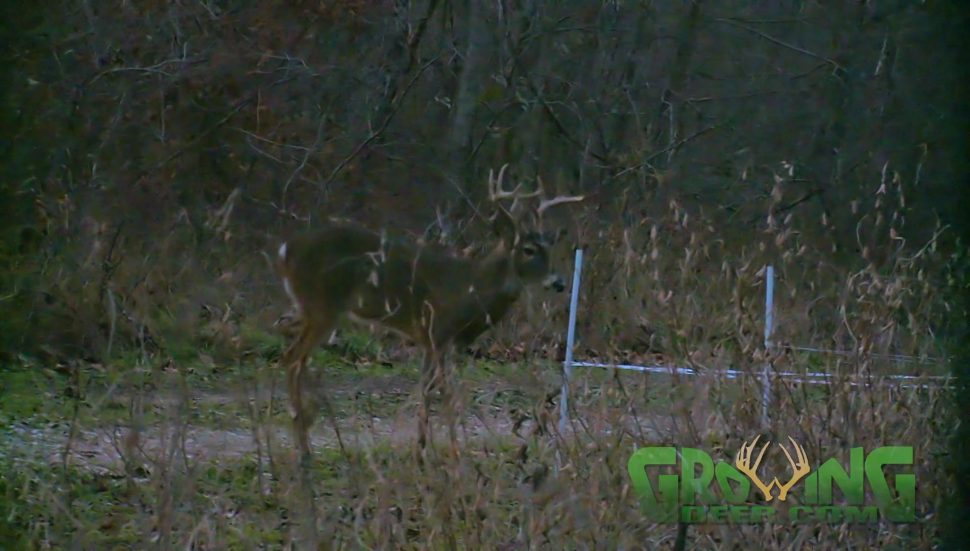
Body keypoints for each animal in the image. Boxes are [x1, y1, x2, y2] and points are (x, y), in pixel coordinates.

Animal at [276, 165, 584, 462]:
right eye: (529, 249)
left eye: (549, 248)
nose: (559, 282)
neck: (471, 290)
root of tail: (285, 250)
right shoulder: (439, 332)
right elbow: (446, 394)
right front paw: (456, 451)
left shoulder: (427, 339)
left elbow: (426, 390)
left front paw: (421, 450)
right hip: (322, 307)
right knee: (293, 357)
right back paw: (303, 441)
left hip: (308, 307)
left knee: (285, 333)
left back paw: (306, 417)